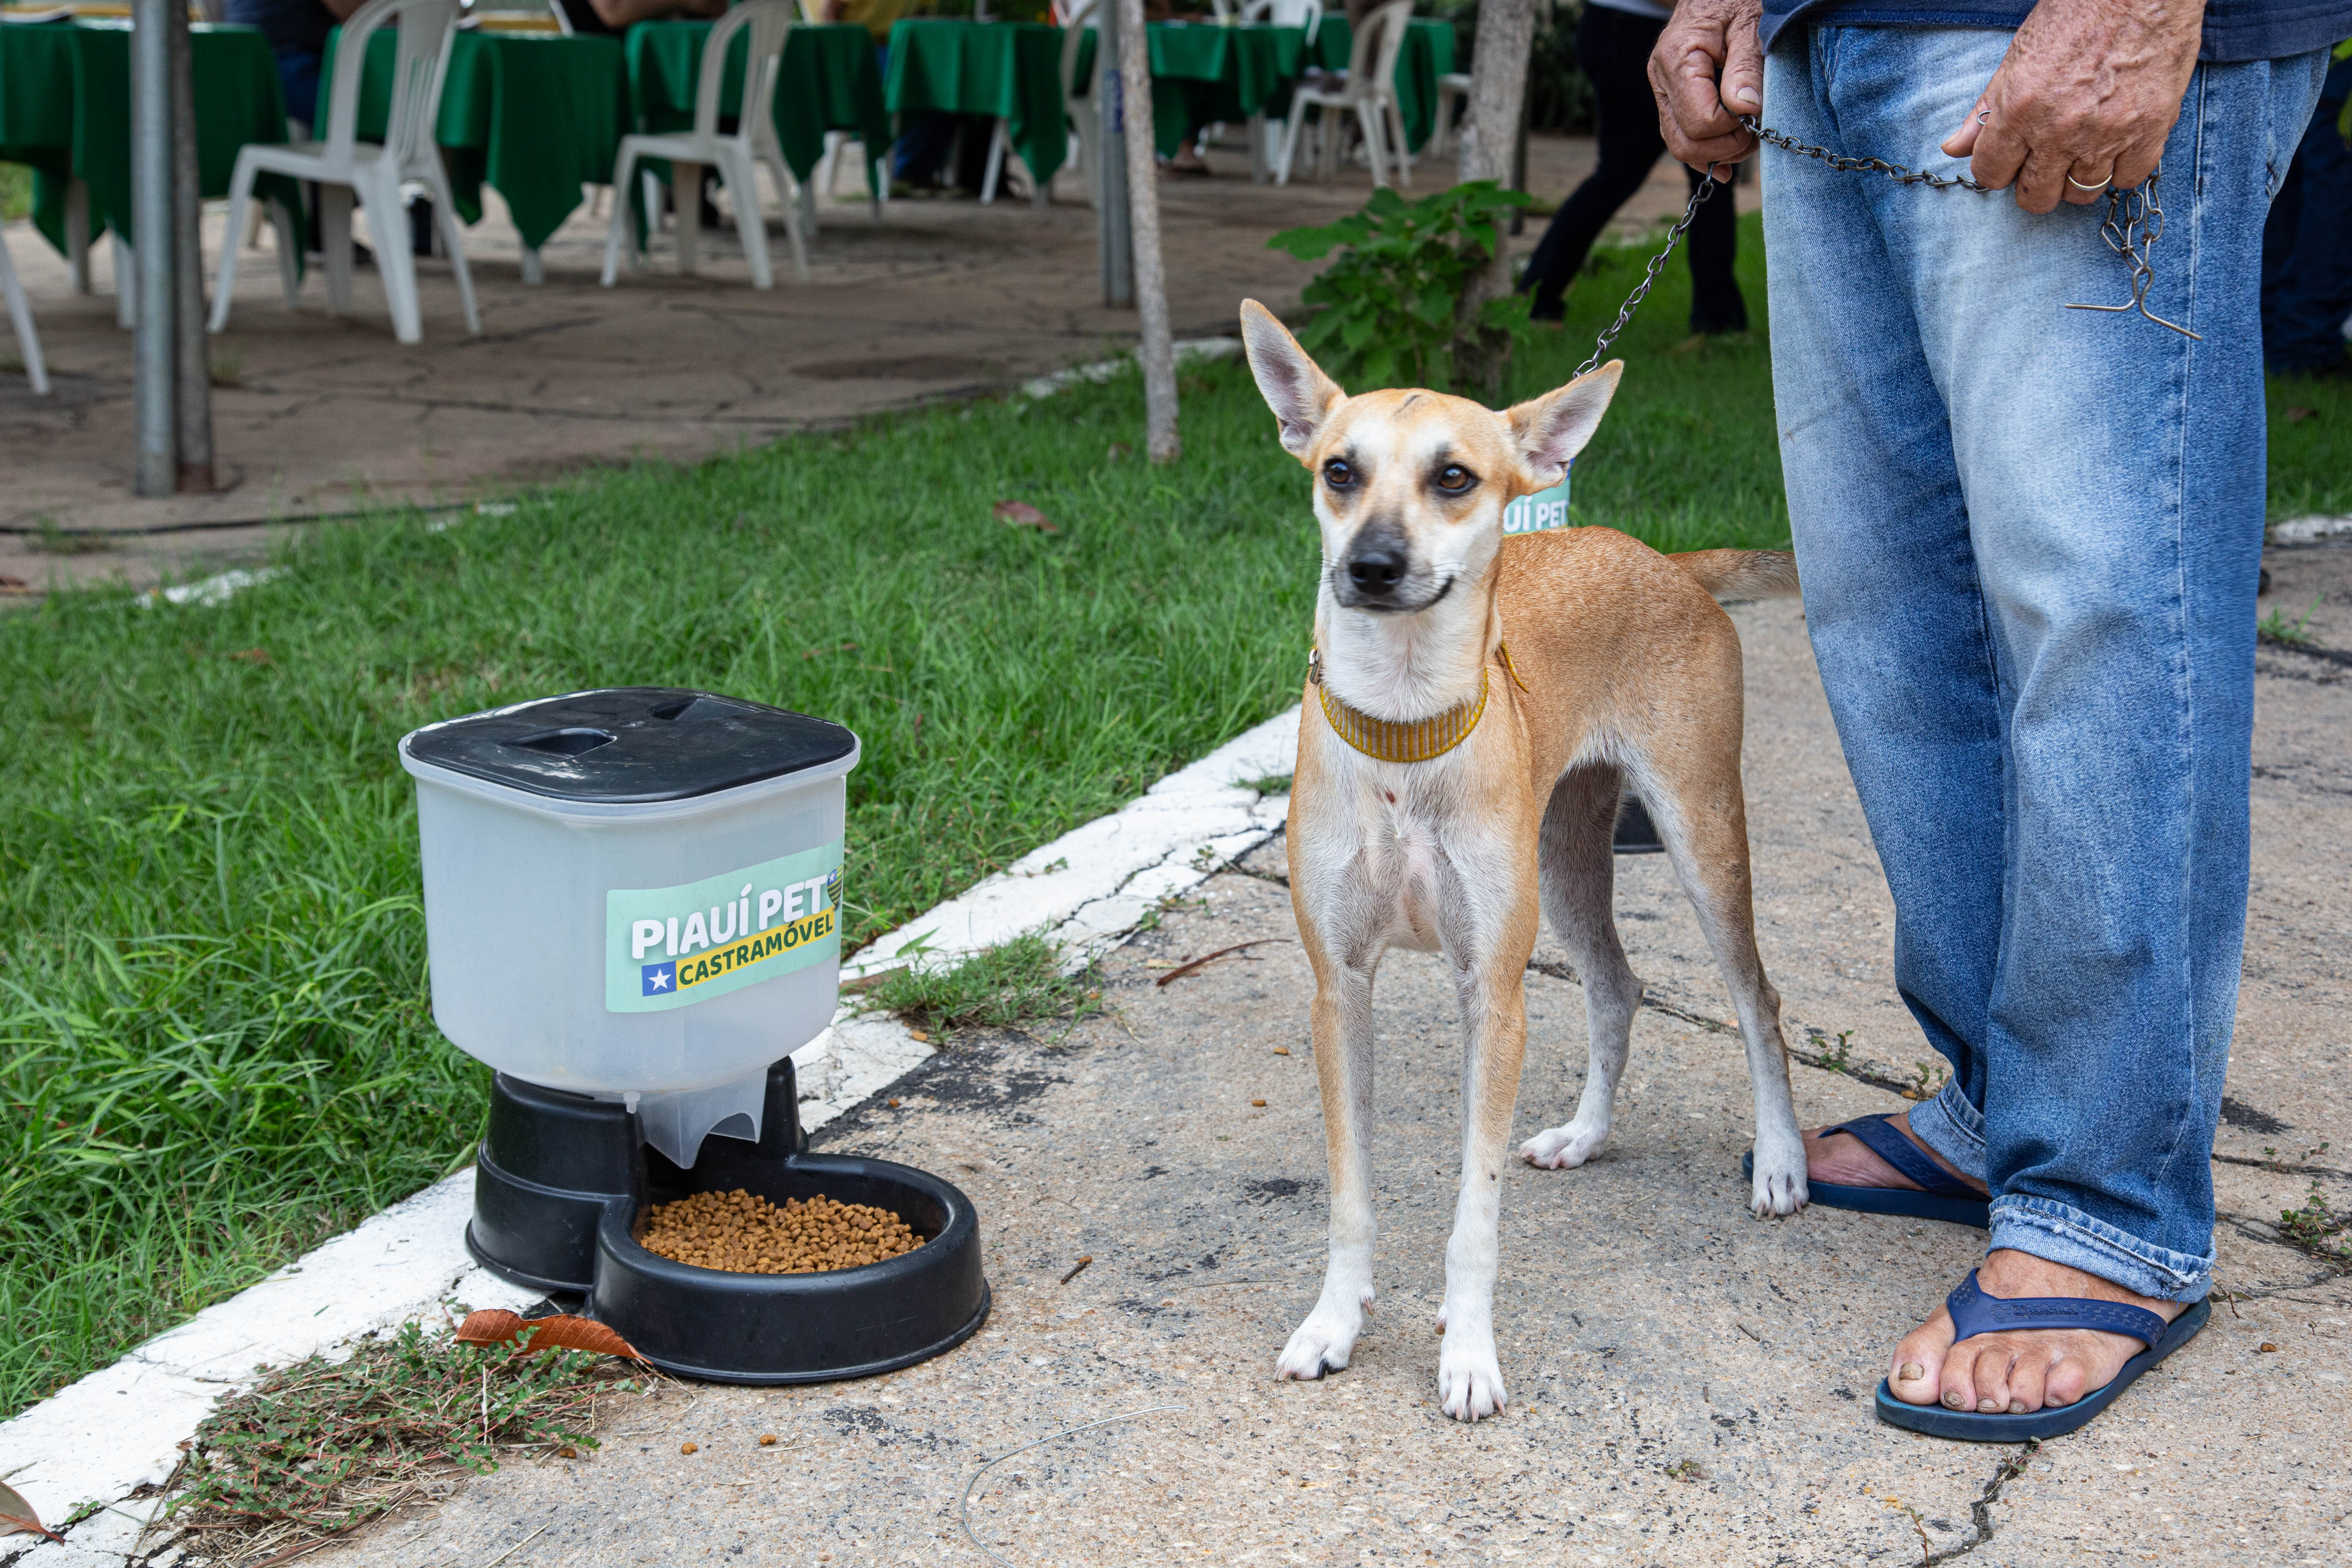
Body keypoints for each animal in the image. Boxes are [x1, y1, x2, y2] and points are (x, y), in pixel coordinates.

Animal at [1242, 294, 1806, 1420]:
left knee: (1756, 1003)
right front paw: (1333, 1324)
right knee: (1618, 986)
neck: (1402, 733)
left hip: (1702, 841)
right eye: (1339, 470)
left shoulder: (1491, 996)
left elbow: (1475, 1208)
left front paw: (1467, 1352)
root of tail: (1670, 562)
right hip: (1566, 858)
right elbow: (1349, 1195)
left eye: (1454, 477)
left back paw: (1776, 1162)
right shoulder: (1340, 991)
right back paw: (1586, 1134)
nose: (1369, 567)